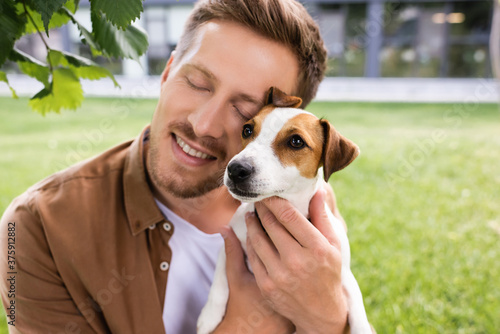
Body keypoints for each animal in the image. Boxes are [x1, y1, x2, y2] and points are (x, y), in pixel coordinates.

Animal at [196, 87, 372, 332]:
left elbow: (356, 302)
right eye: (247, 130)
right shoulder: (230, 241)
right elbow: (220, 276)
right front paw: (209, 315)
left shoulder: (342, 272)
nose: (236, 169)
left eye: (296, 141)